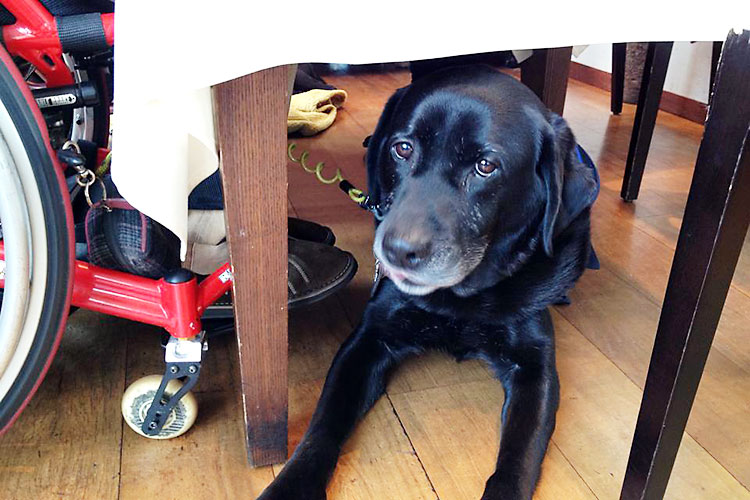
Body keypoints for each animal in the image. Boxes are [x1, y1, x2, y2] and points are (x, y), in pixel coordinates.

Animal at [259, 65, 599, 500]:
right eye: (402, 149)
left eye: (485, 166)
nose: (396, 250)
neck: (459, 300)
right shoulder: (367, 340)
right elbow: (322, 428)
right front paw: (290, 485)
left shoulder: (535, 367)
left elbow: (517, 460)